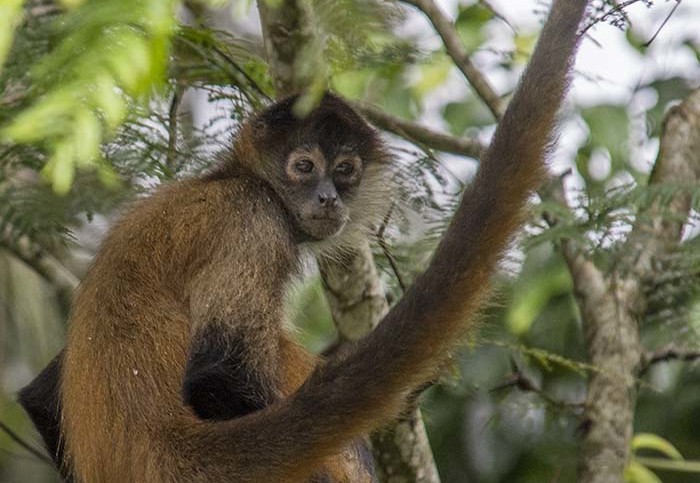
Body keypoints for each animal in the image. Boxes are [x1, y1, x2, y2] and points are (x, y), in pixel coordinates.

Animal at [17, 1, 592, 482]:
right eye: (303, 166)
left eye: (345, 170)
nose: (327, 198)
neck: (232, 177)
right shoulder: (253, 220)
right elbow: (214, 378)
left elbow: (39, 393)